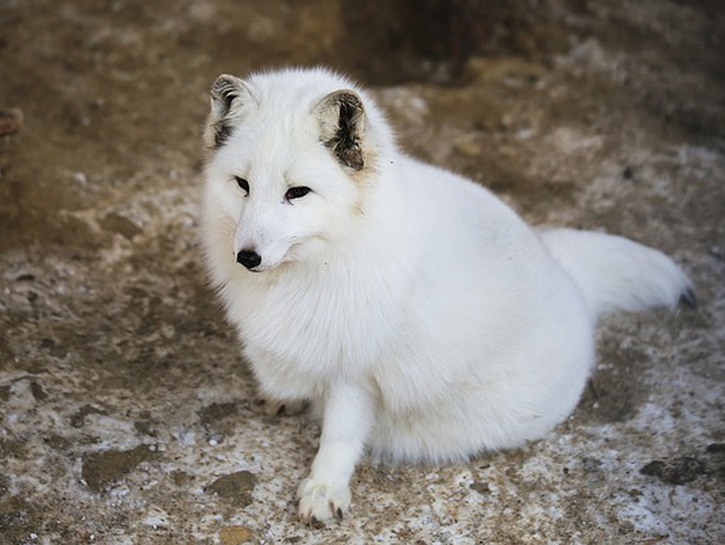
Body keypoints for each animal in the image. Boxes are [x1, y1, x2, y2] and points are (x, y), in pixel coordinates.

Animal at [199, 67, 694, 524]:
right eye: (243, 184)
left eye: (297, 192)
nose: (247, 257)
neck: (326, 259)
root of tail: (568, 276)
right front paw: (283, 394)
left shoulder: (357, 370)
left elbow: (339, 435)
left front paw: (323, 489)